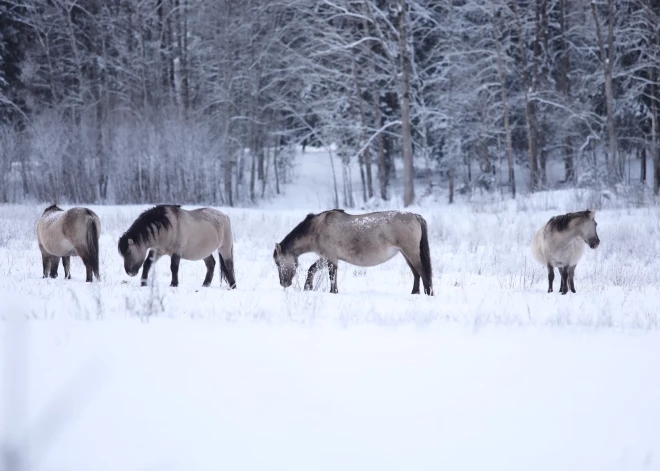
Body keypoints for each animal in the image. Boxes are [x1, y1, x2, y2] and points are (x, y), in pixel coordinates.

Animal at [274, 209, 434, 296]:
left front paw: (333, 292)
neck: (316, 229)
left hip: (411, 253)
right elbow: (312, 269)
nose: (283, 283)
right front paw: (308, 288)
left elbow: (332, 277)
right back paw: (415, 293)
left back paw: (429, 294)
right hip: (405, 254)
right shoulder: (326, 257)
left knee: (423, 272)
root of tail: (415, 216)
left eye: (277, 263)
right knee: (416, 273)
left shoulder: (331, 258)